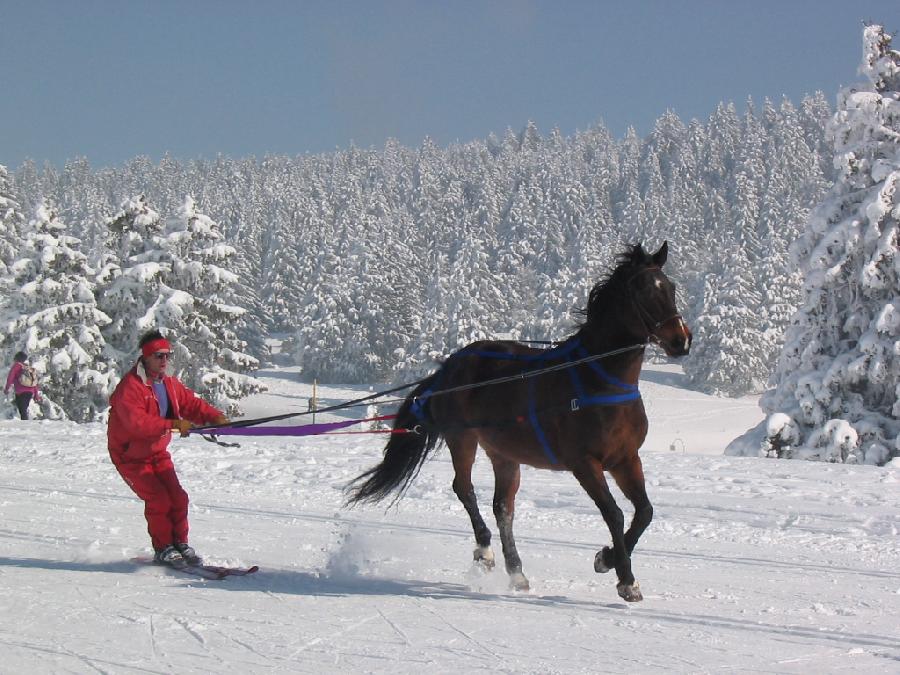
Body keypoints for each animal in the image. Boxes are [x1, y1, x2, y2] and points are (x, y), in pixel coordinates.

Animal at [344, 243, 688, 604]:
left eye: (671, 287)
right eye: (643, 290)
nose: (681, 340)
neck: (601, 381)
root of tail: (448, 367)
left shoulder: (626, 459)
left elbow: (644, 512)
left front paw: (606, 559)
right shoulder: (584, 463)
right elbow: (614, 513)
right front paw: (625, 579)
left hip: (504, 453)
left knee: (503, 508)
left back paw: (517, 572)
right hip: (461, 438)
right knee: (464, 489)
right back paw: (485, 551)